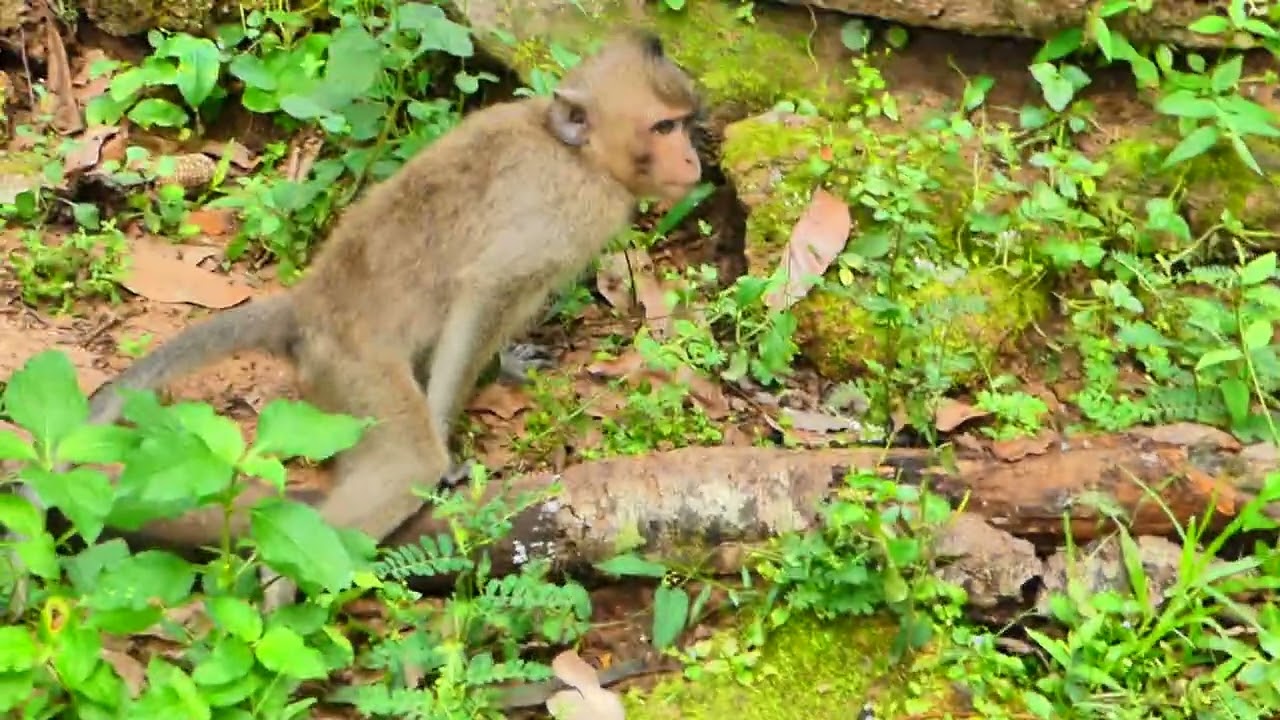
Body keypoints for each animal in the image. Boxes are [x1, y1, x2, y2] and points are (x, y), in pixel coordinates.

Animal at [7, 29, 703, 611]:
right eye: (664, 126)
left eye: (686, 122)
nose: (695, 162)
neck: (579, 156)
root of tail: (309, 307)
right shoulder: (565, 213)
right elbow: (483, 293)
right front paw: (449, 444)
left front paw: (507, 362)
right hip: (351, 371)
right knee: (402, 463)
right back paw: (281, 577)